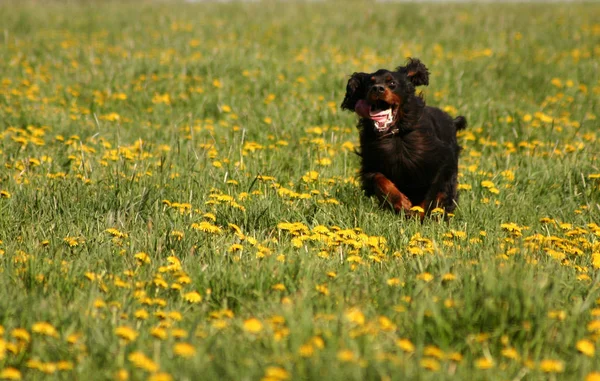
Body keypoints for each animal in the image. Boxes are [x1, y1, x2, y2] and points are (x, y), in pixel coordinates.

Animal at [340, 56, 466, 217]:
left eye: (392, 83)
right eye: (370, 83)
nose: (377, 88)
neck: (396, 135)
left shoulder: (442, 162)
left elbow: (432, 192)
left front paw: (418, 213)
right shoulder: (371, 163)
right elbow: (379, 179)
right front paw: (401, 202)